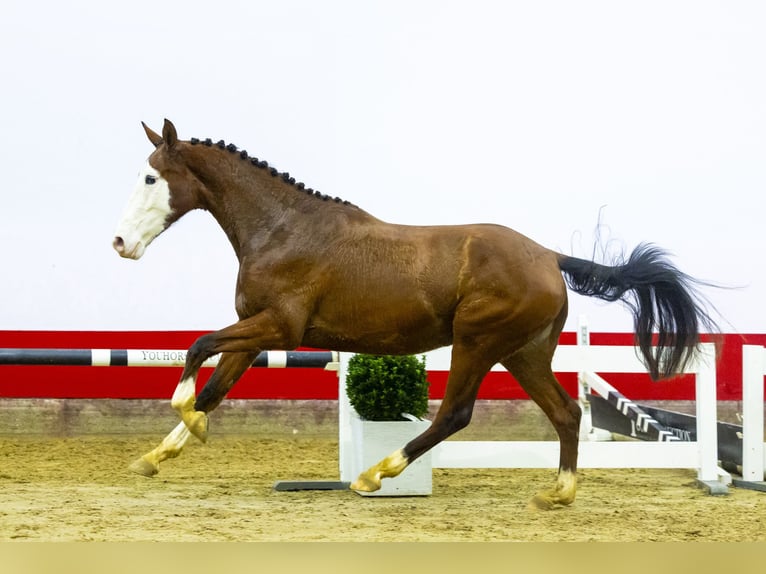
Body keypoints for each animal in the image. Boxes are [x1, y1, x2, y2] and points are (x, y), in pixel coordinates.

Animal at [114, 119, 720, 510]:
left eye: (150, 178)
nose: (120, 243)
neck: (282, 230)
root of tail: (549, 256)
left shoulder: (280, 327)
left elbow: (197, 349)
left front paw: (189, 422)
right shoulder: (256, 332)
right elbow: (215, 384)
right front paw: (155, 455)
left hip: (476, 343)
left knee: (454, 414)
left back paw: (374, 475)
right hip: (523, 354)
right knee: (567, 413)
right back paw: (559, 493)